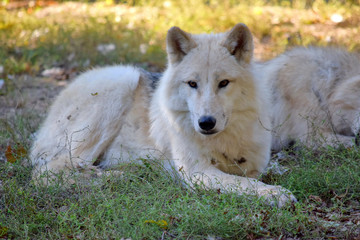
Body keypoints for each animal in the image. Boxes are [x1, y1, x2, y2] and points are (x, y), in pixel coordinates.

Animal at [31, 23, 296, 206]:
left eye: (223, 83)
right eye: (192, 84)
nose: (206, 123)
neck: (224, 140)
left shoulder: (253, 163)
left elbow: (254, 176)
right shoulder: (196, 172)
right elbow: (245, 183)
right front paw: (276, 194)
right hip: (123, 80)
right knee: (47, 172)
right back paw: (115, 177)